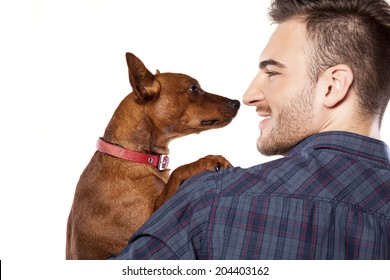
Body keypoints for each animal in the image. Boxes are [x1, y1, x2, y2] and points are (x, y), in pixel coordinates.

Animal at [65, 53, 239, 260]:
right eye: (194, 88)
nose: (236, 102)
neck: (132, 155)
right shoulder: (148, 222)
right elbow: (178, 171)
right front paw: (207, 160)